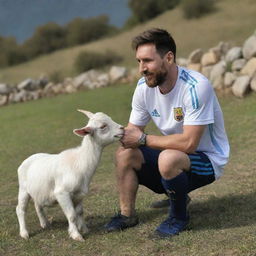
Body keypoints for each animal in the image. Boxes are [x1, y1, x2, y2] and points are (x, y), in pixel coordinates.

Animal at [16, 109, 124, 241]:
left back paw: (45, 224)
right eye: (103, 126)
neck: (80, 162)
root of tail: (28, 159)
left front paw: (84, 229)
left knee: (38, 205)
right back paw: (24, 233)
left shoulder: (79, 194)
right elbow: (71, 215)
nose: (122, 128)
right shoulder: (62, 193)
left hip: (38, 189)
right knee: (20, 209)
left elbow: (80, 212)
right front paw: (76, 235)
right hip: (23, 189)